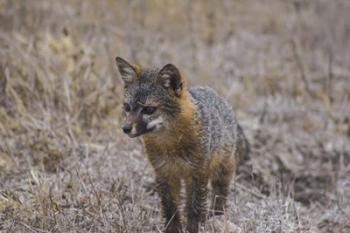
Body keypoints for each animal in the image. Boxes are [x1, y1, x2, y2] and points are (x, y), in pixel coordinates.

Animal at [115, 56, 249, 233]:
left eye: (149, 109)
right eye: (127, 107)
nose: (126, 128)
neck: (171, 146)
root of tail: (217, 95)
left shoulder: (197, 173)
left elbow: (194, 208)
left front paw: (193, 228)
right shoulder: (164, 173)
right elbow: (170, 207)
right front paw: (173, 229)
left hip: (221, 171)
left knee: (219, 198)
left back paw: (218, 218)